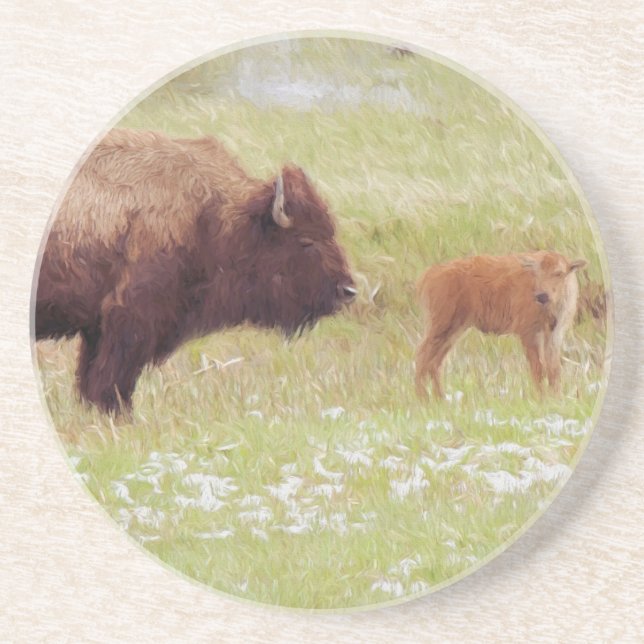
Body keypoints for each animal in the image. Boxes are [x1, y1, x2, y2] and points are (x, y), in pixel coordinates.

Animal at [35, 128, 356, 413]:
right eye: (306, 241)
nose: (348, 290)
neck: (217, 217)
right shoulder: (130, 319)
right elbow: (109, 380)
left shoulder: (99, 328)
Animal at [414, 251, 587, 399]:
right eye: (536, 273)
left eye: (559, 273)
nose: (542, 295)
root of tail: (428, 274)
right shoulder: (529, 333)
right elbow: (538, 368)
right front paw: (541, 398)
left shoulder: (554, 334)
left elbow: (554, 369)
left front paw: (556, 398)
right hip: (440, 326)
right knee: (422, 356)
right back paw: (423, 400)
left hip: (454, 330)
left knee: (435, 362)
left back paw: (440, 399)